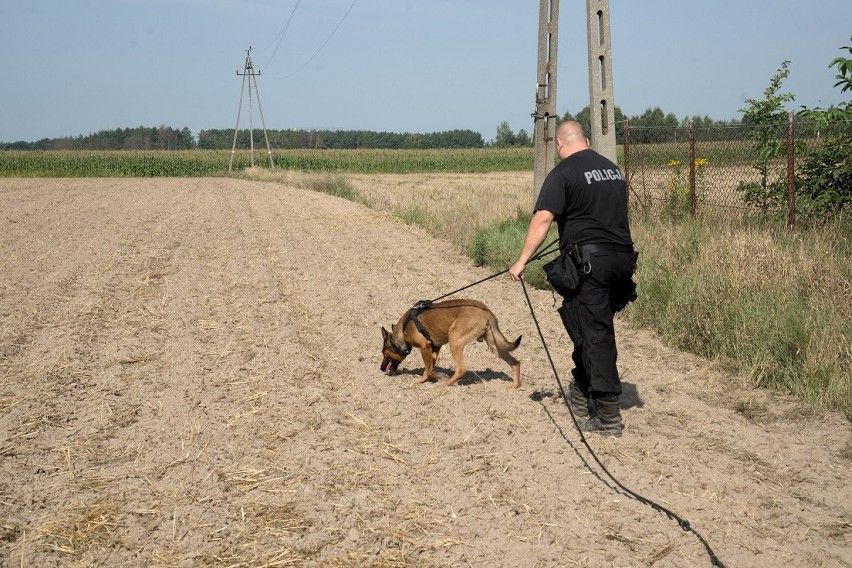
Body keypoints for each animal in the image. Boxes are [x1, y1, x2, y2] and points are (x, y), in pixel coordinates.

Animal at [378, 300, 524, 388]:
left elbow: (429, 369)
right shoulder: (434, 348)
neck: (403, 330)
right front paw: (426, 379)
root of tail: (488, 312)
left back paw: (447, 383)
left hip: (454, 340)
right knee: (515, 363)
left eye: (384, 353)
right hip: (494, 345)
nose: (381, 368)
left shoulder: (425, 346)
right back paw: (515, 386)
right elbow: (429, 368)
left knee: (462, 369)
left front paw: (438, 376)